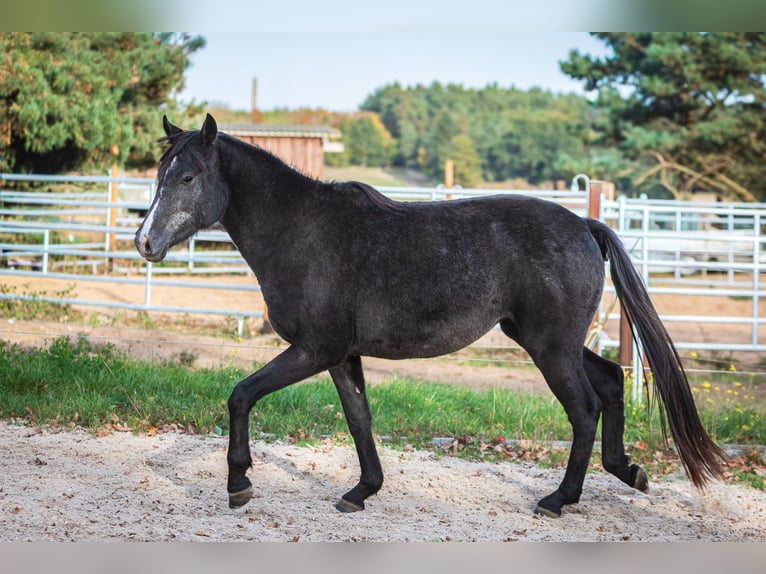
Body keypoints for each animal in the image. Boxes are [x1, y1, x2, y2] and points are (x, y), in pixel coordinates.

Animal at [134, 114, 726, 518]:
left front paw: (238, 484)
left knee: (584, 409)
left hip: (550, 348)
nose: (144, 243)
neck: (302, 232)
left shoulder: (314, 349)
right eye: (162, 173)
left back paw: (559, 499)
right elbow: (359, 418)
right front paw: (362, 491)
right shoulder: (341, 355)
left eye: (187, 178)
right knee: (610, 382)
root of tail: (585, 225)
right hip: (549, 340)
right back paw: (628, 472)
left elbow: (241, 395)